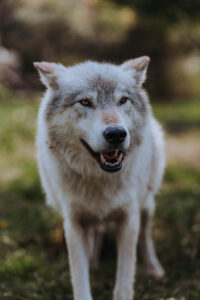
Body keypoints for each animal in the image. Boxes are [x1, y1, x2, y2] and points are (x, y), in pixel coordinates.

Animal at [34, 56, 166, 300]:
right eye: (85, 102)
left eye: (122, 100)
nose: (116, 134)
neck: (100, 178)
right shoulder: (73, 223)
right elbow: (79, 277)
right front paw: (88, 266)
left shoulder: (129, 219)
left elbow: (124, 278)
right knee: (97, 230)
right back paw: (94, 260)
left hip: (146, 205)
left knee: (146, 237)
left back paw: (154, 269)